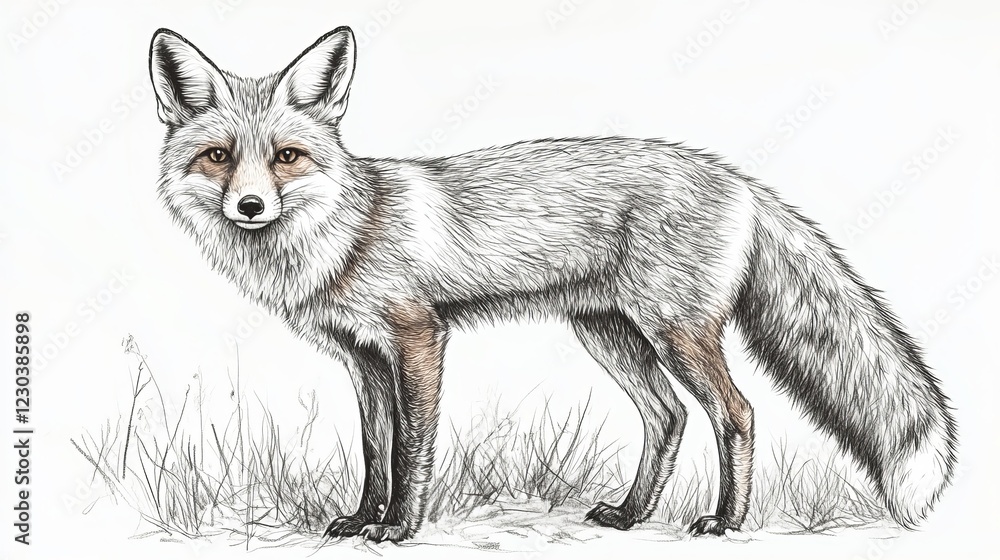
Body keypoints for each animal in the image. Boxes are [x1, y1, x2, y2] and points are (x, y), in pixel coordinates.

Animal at [149, 26, 957, 542]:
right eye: (220, 157)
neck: (347, 234)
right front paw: (360, 519)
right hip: (610, 334)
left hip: (676, 332)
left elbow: (413, 447)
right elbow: (377, 447)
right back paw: (631, 516)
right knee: (668, 417)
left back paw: (726, 522)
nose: (251, 207)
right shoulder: (362, 357)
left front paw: (400, 527)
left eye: (286, 157)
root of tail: (739, 180)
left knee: (738, 413)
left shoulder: (418, 337)